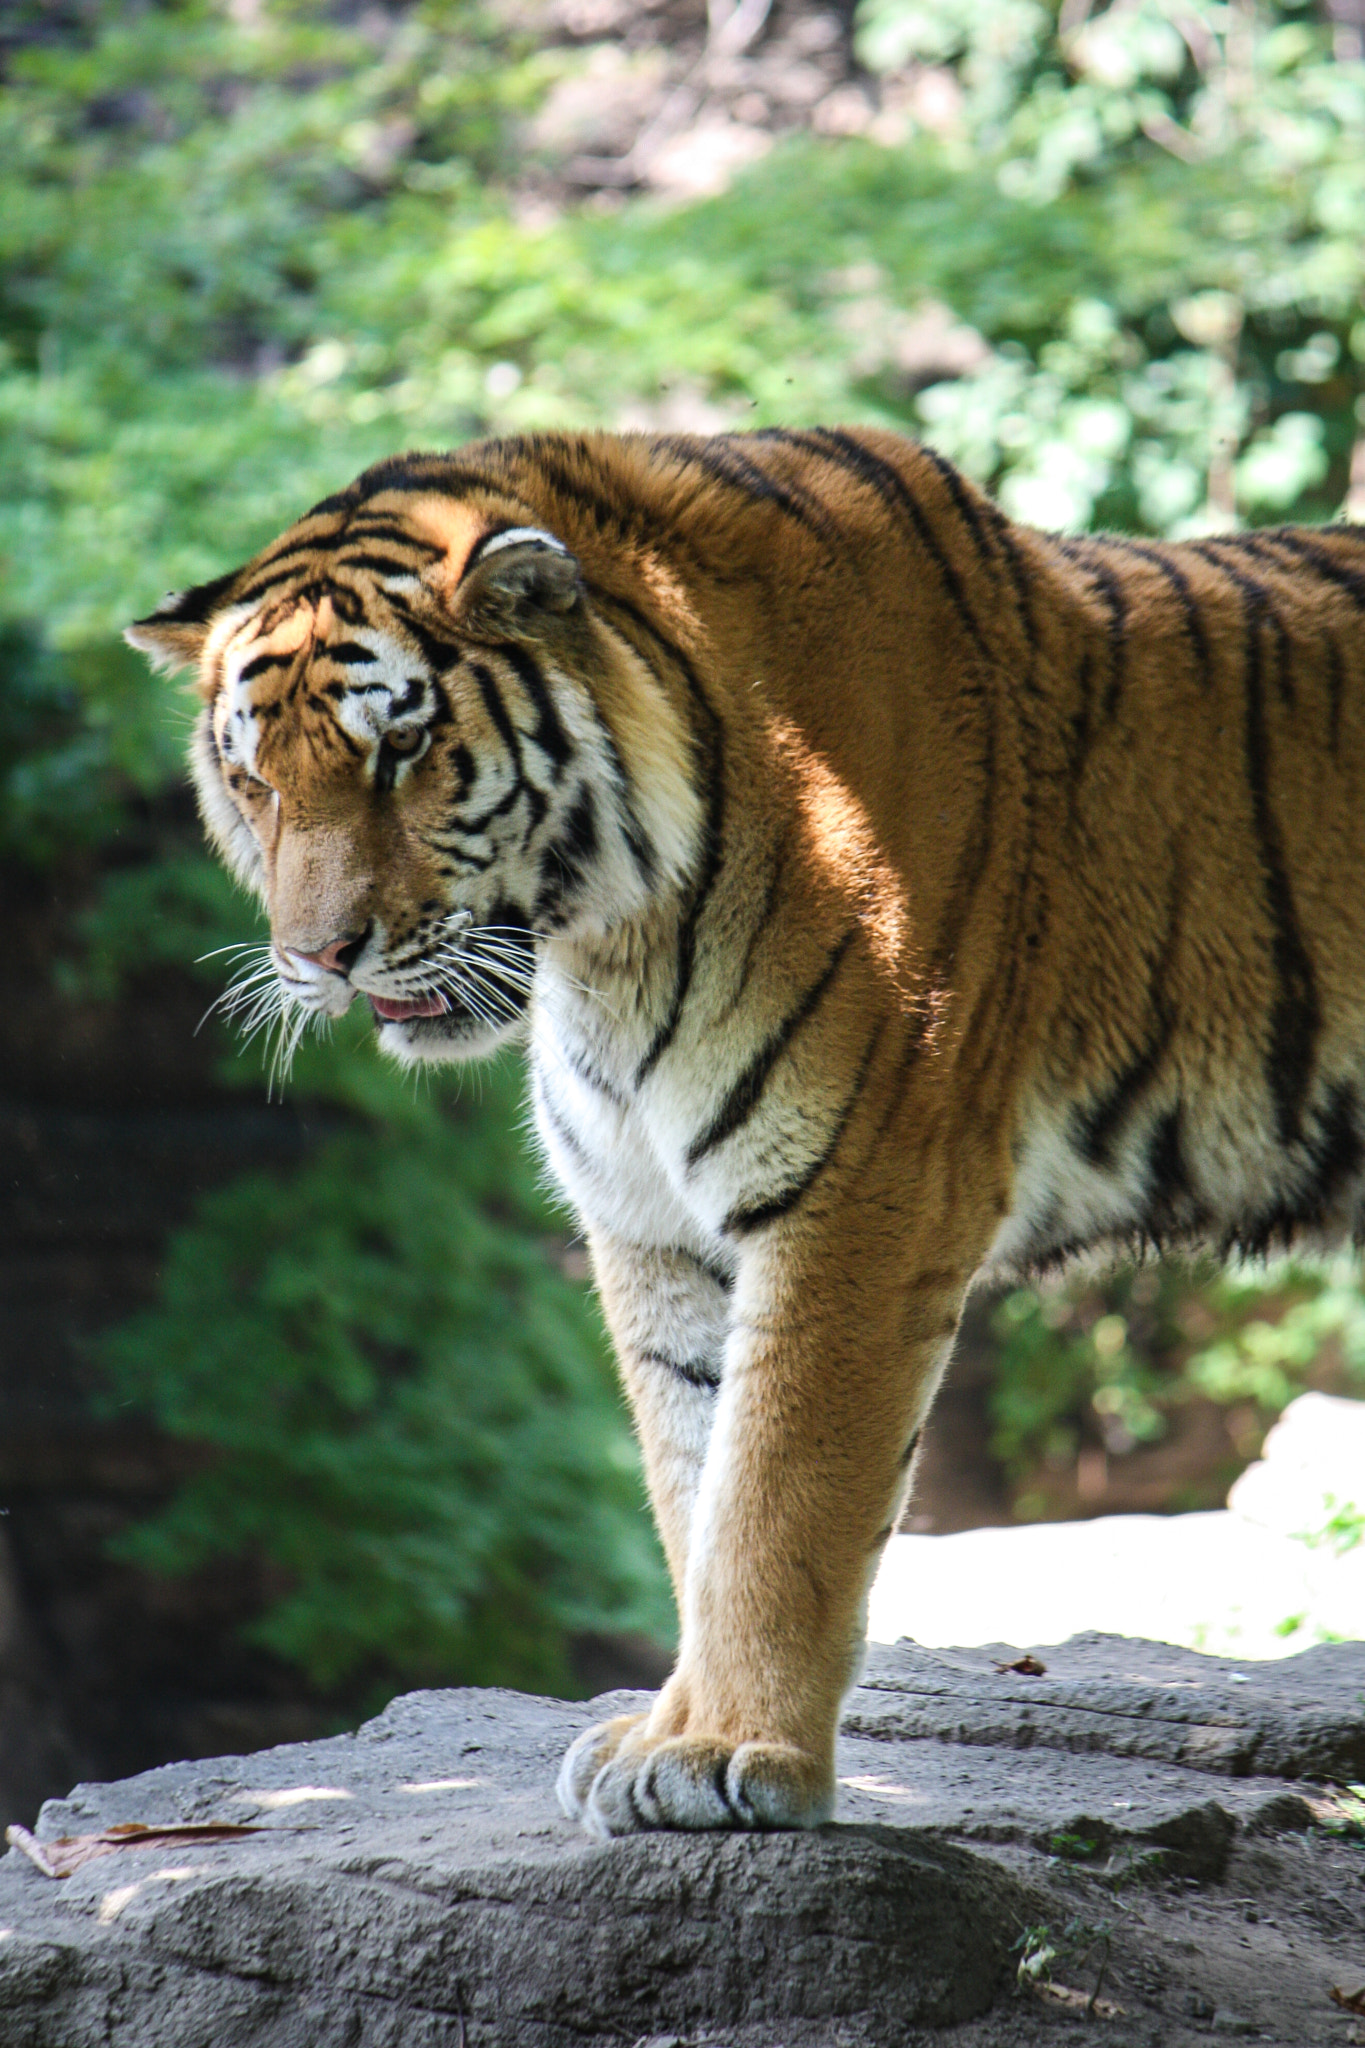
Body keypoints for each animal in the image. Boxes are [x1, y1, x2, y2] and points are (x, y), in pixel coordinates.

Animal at [127, 426, 1365, 1838]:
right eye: (252, 775)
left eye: (401, 750)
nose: (317, 958)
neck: (610, 938)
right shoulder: (651, 1224)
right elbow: (694, 1483)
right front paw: (668, 1728)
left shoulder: (861, 1190)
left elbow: (780, 1494)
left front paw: (729, 1749)